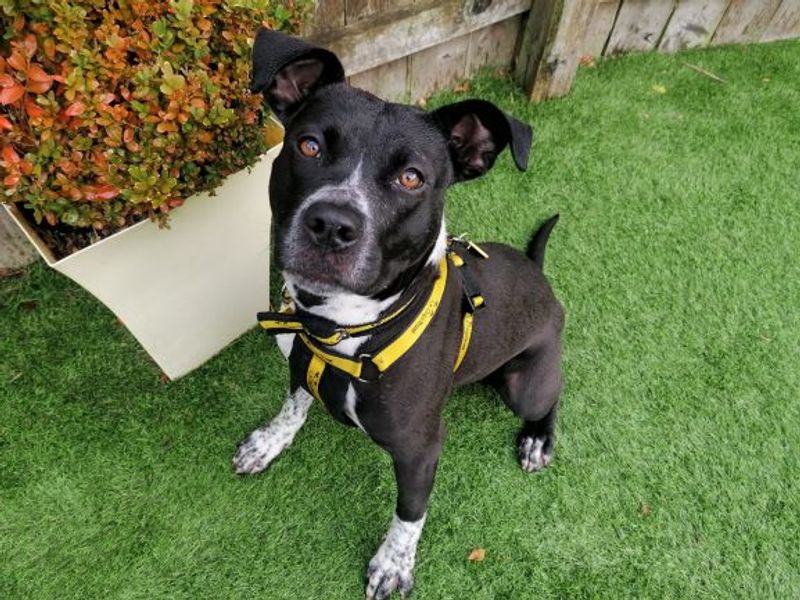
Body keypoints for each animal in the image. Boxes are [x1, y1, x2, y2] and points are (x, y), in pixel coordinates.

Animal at [234, 29, 564, 600]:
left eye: (412, 178)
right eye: (308, 145)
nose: (331, 224)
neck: (337, 324)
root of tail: (542, 279)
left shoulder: (419, 450)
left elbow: (410, 513)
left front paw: (393, 564)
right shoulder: (298, 362)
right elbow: (293, 404)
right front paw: (269, 442)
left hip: (526, 384)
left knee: (552, 396)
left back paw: (537, 439)